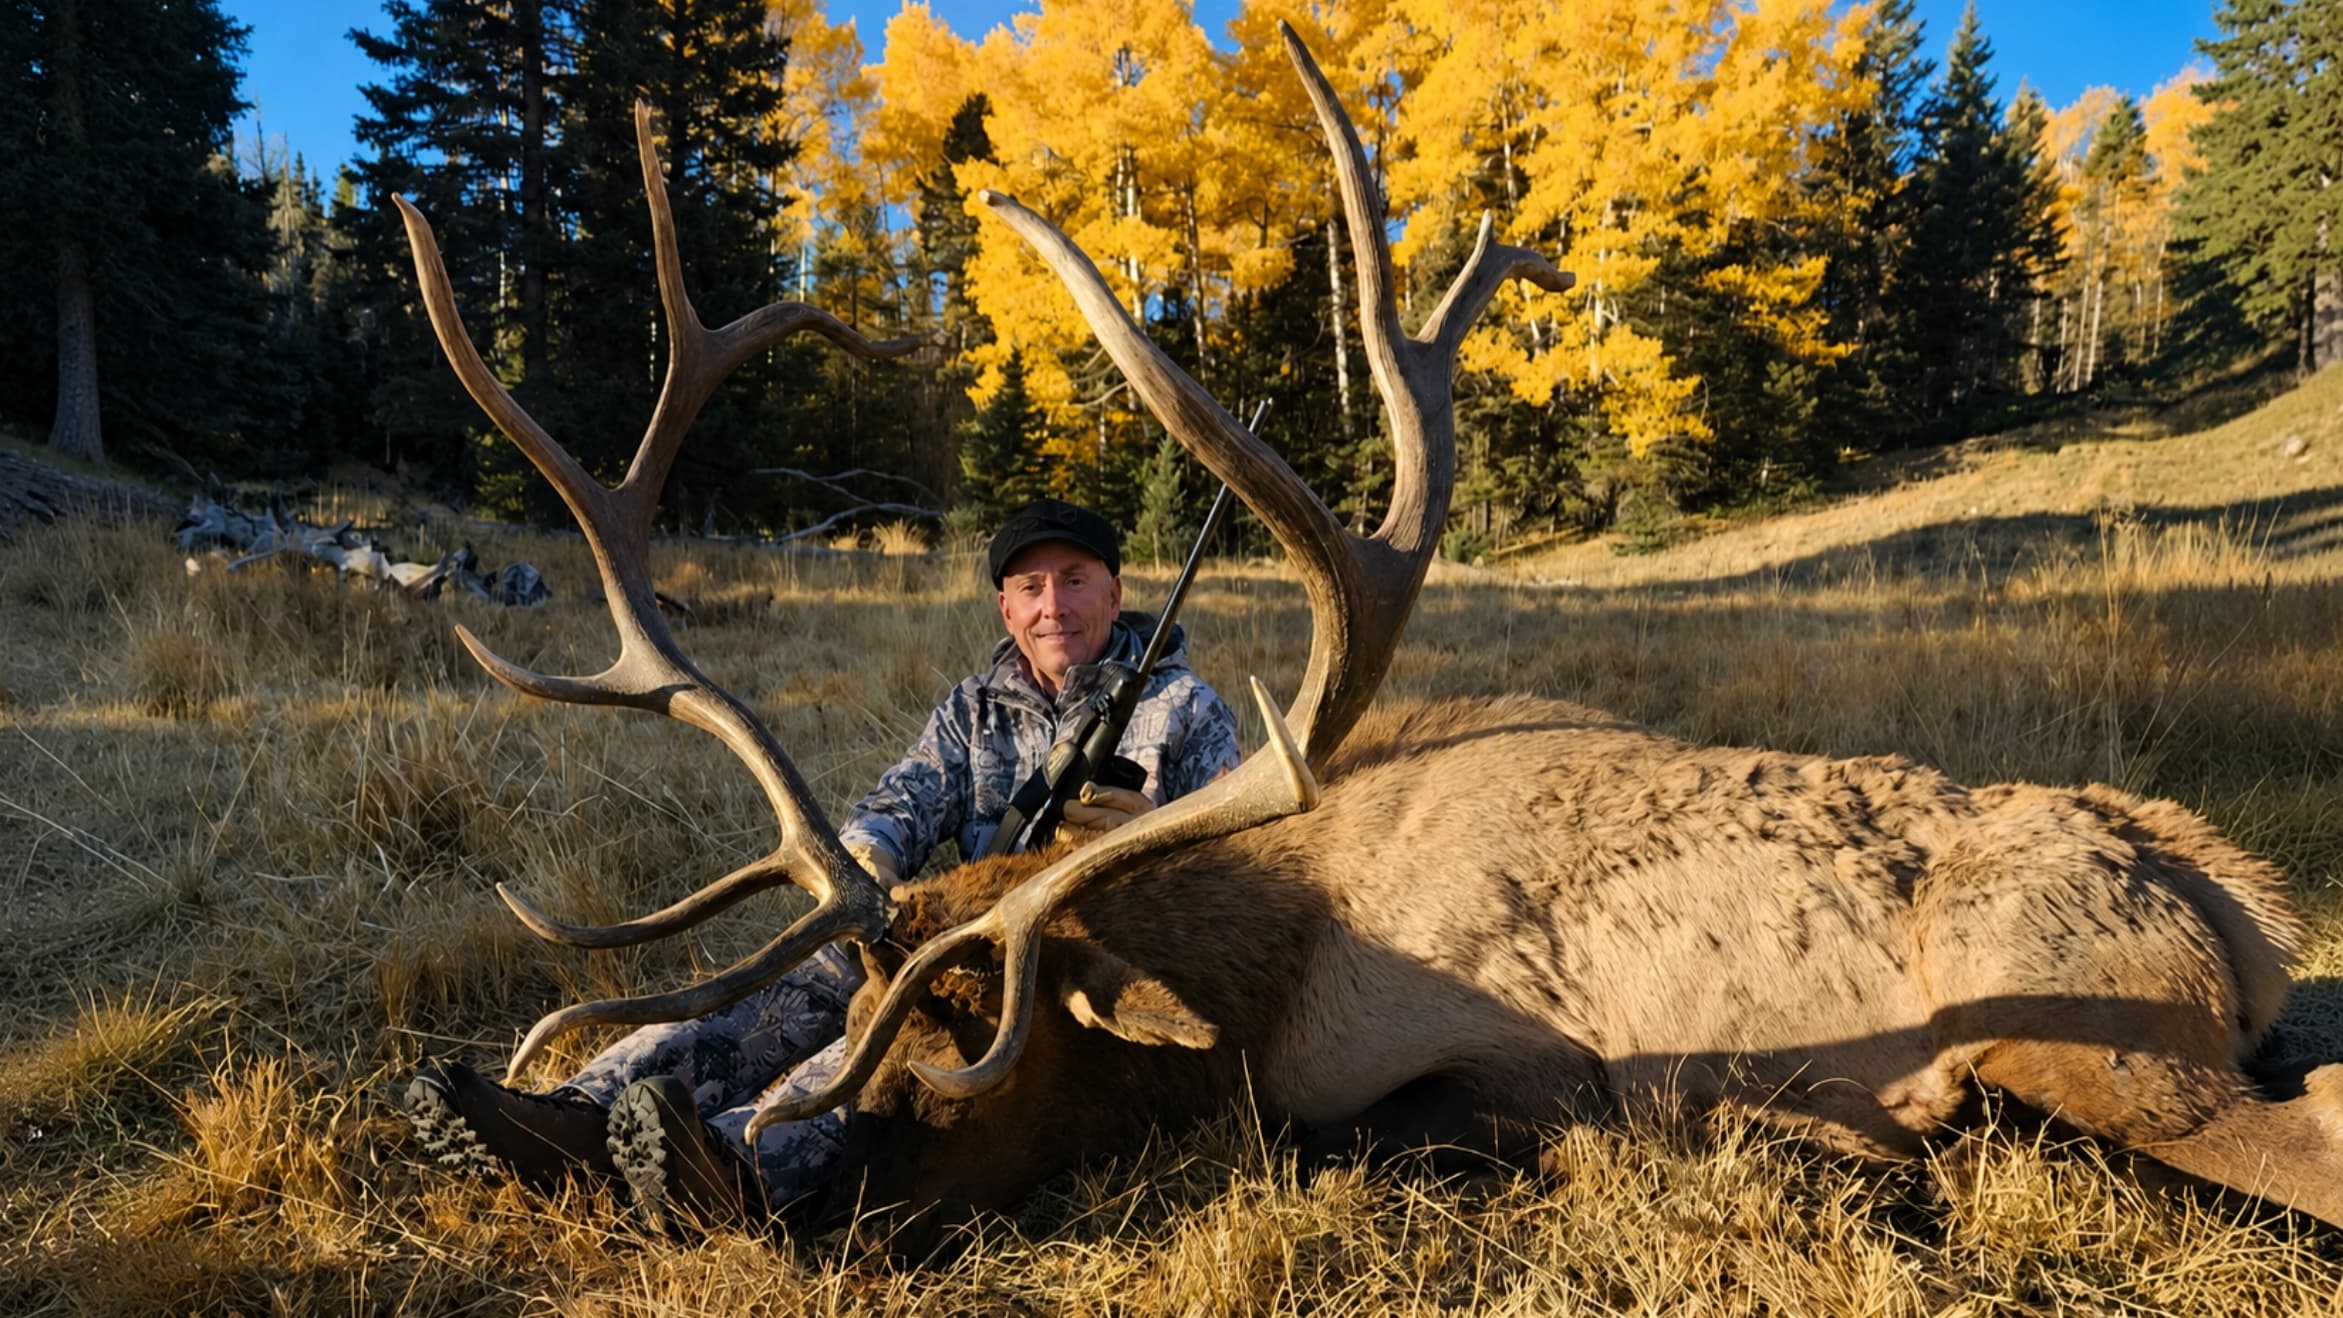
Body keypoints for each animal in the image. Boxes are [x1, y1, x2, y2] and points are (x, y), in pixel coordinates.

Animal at [394, 25, 2343, 1259]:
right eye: (866, 1005)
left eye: (962, 1037)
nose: (783, 1201)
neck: (1271, 957)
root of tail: (2236, 893)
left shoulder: (1503, 1063)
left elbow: (1389, 1127)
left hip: (2090, 1028)